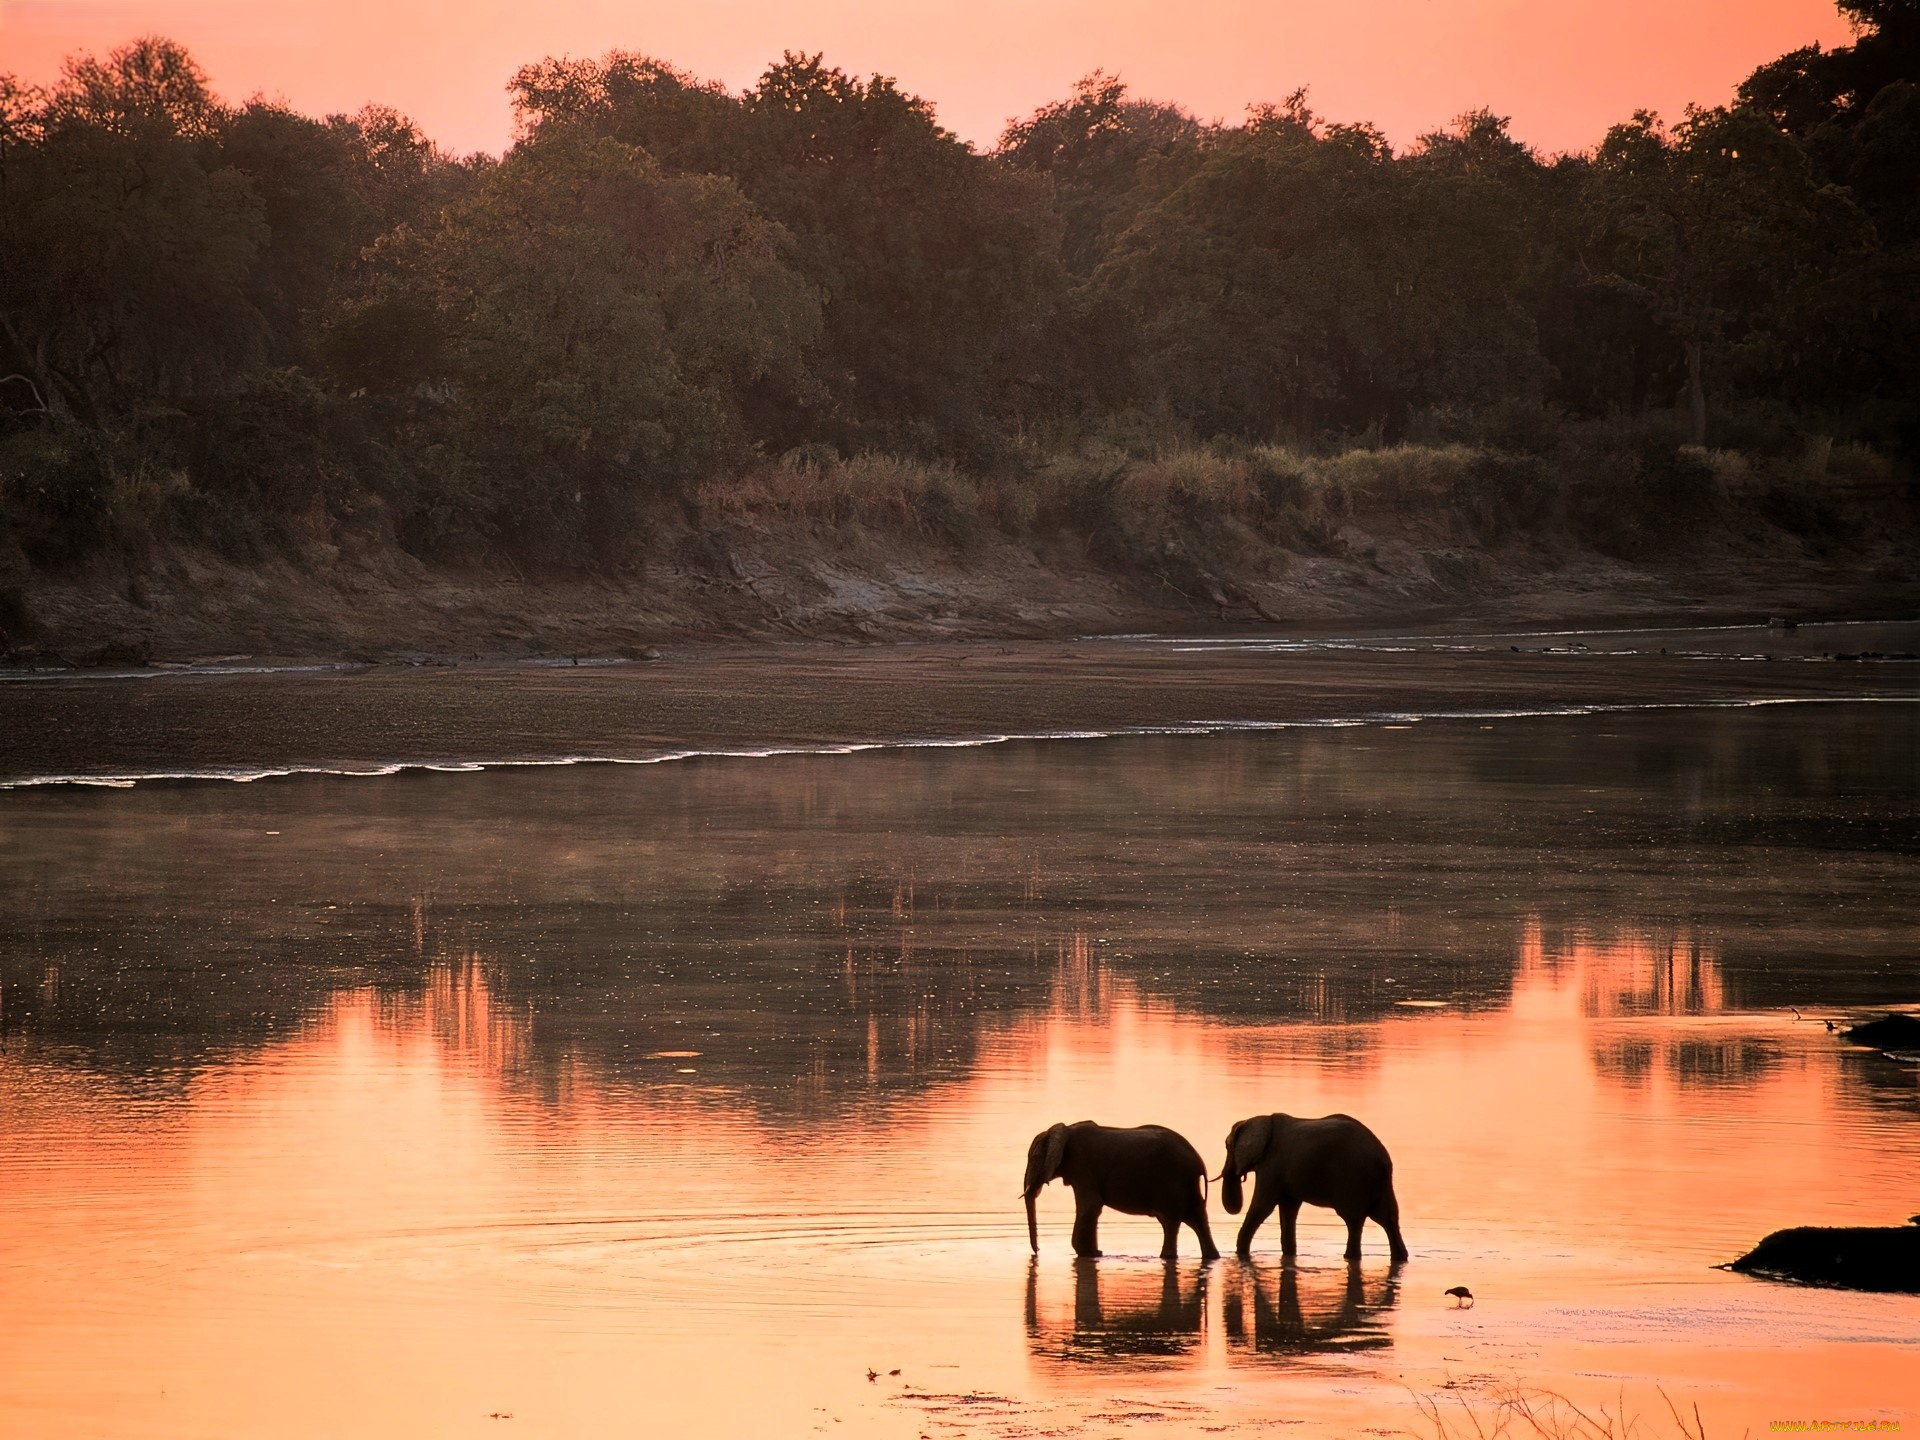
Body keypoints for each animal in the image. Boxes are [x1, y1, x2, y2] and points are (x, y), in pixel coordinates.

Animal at [1021, 1121, 1213, 1259]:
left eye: (1032, 1158)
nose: (1038, 1251)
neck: (1065, 1129)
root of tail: (1199, 1163)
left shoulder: (1081, 1164)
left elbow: (1090, 1204)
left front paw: (1088, 1253)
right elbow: (1093, 1208)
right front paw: (1094, 1254)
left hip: (1172, 1182)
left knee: (1170, 1221)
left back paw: (1166, 1256)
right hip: (1187, 1184)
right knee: (1197, 1219)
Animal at [1213, 1113, 1413, 1259]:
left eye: (1227, 1146)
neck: (1261, 1119)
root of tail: (1382, 1157)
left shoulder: (1271, 1165)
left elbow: (1263, 1206)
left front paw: (1240, 1252)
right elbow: (1288, 1208)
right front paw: (1289, 1254)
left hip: (1354, 1180)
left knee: (1354, 1220)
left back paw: (1350, 1257)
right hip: (1381, 1183)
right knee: (1388, 1218)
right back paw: (1400, 1257)